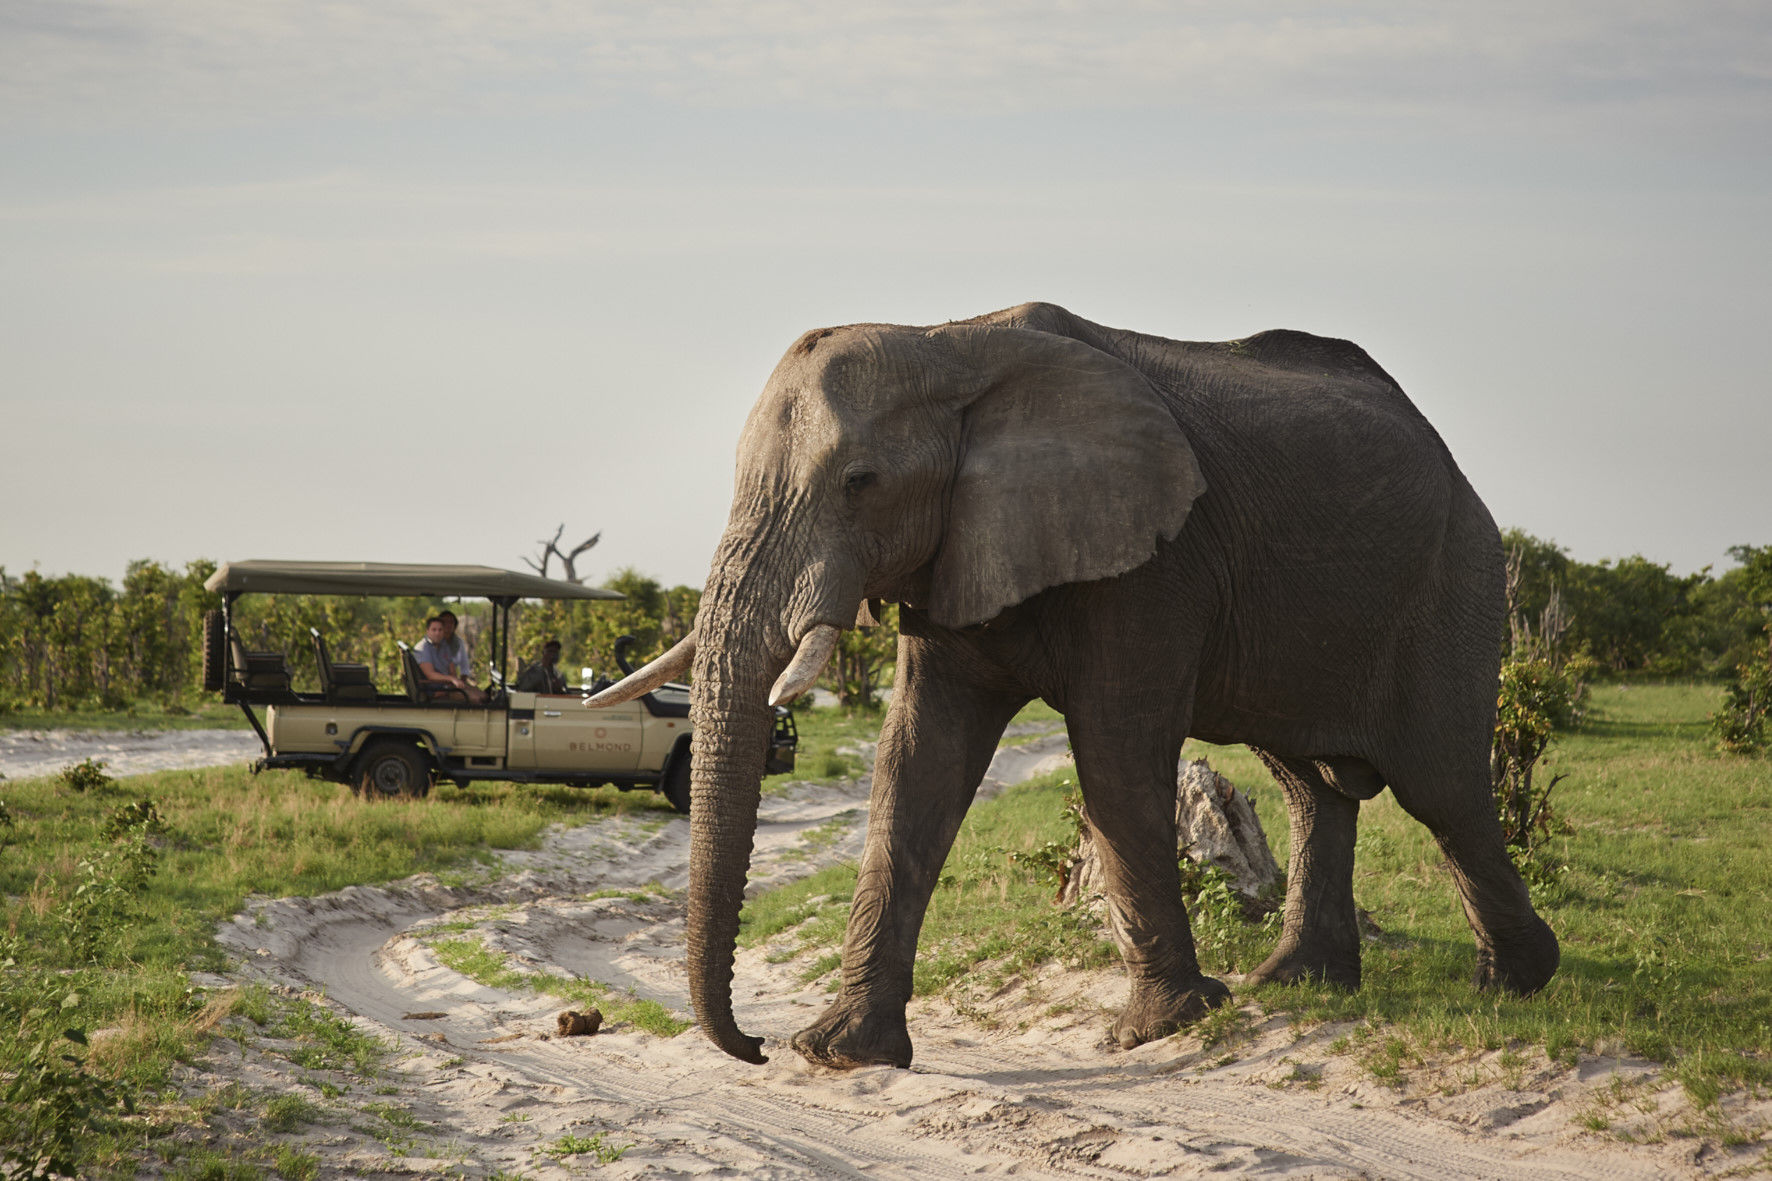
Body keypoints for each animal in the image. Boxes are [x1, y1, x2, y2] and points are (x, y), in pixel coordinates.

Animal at [588, 296, 1559, 1063]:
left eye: (860, 482)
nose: (754, 1044)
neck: (949, 342)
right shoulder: (957, 548)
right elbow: (917, 760)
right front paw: (841, 1052)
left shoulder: (1152, 560)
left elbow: (1116, 755)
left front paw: (1162, 1029)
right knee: (1309, 783)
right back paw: (1296, 984)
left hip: (1459, 578)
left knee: (1442, 787)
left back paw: (1515, 983)